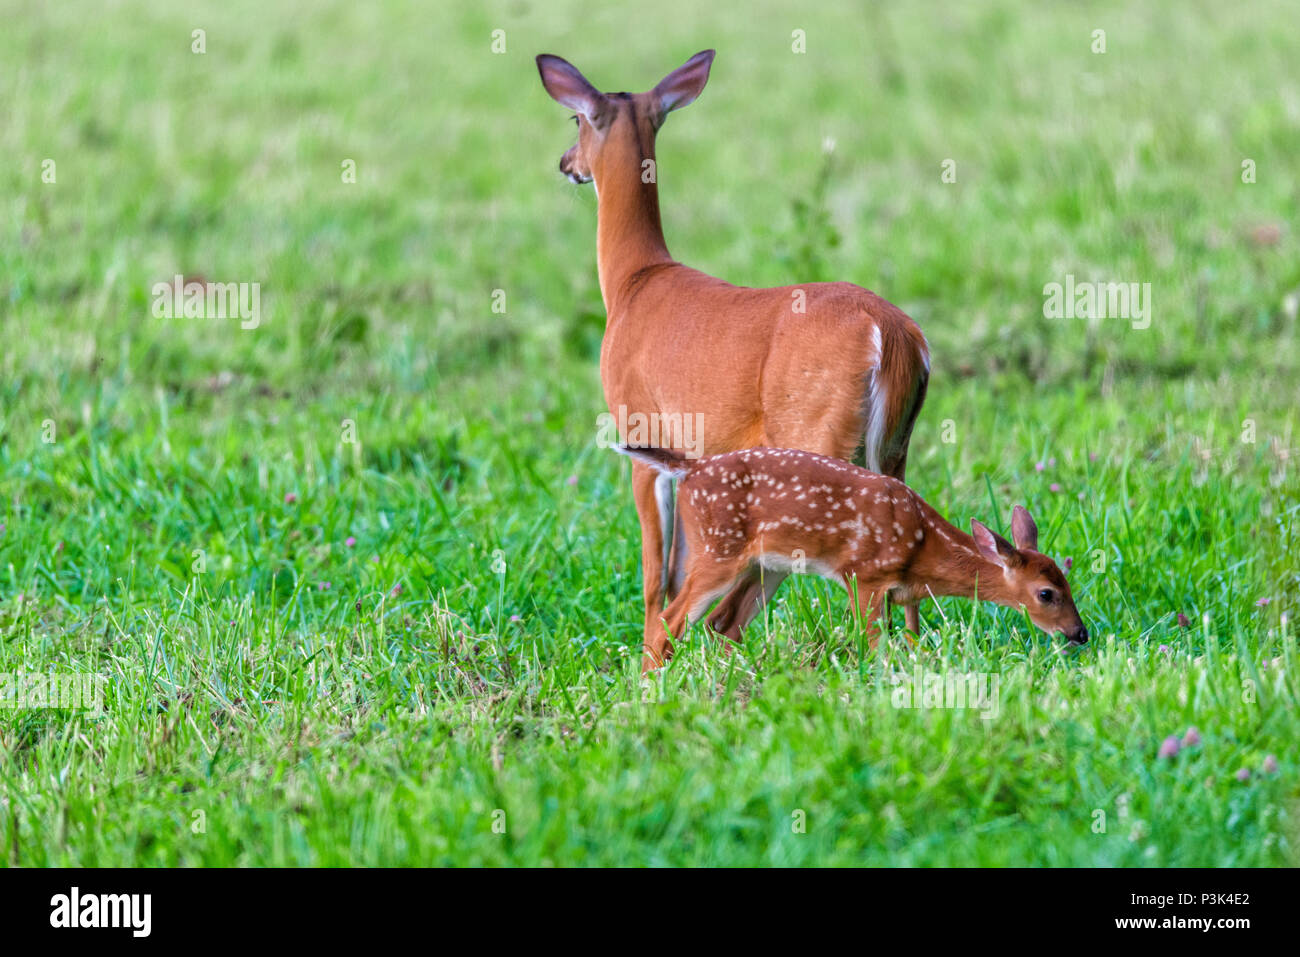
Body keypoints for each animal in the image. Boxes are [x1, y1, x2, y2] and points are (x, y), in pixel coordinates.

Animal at [538, 50, 935, 657]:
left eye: (575, 119)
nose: (566, 164)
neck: (634, 281)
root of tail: (890, 335)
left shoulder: (639, 428)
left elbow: (656, 574)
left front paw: (650, 655)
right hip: (892, 449)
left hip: (815, 442)